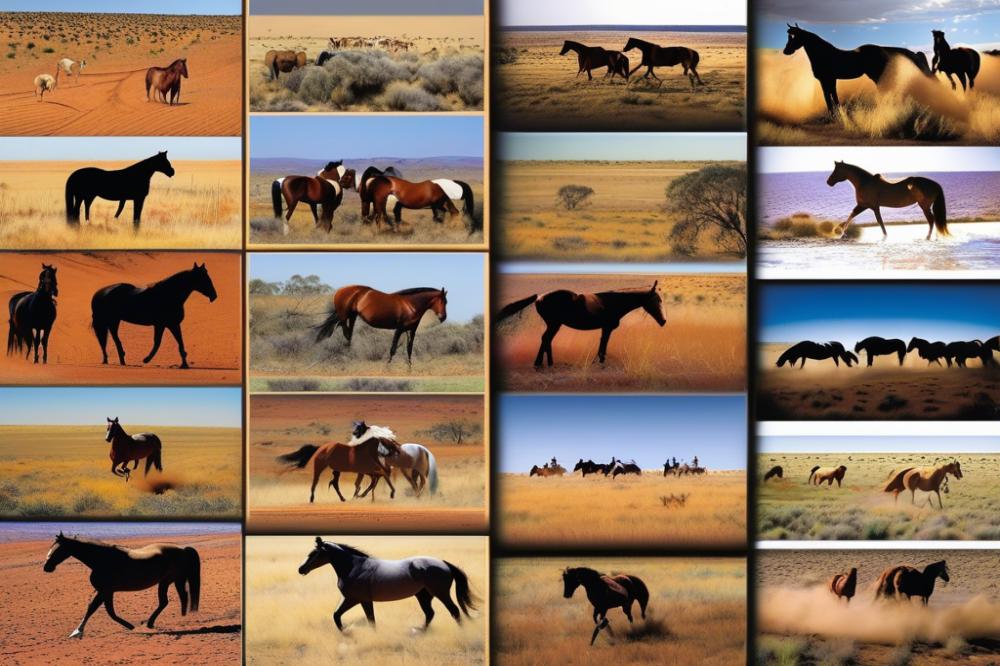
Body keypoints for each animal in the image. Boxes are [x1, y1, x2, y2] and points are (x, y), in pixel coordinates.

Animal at [43, 532, 200, 638]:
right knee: (175, 598)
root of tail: (183, 549)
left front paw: (77, 632)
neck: (103, 560)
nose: (46, 567)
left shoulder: (105, 591)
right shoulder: (105, 591)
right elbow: (103, 610)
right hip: (170, 581)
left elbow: (99, 610)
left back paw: (151, 622)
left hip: (167, 581)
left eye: (58, 549)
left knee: (167, 601)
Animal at [298, 538, 477, 632]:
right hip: (423, 595)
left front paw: (349, 633)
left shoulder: (357, 599)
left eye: (314, 553)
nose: (301, 569)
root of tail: (444, 563)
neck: (354, 568)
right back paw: (419, 631)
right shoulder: (353, 599)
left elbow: (367, 619)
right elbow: (338, 615)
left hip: (441, 593)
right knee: (430, 613)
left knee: (454, 611)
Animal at [314, 285, 448, 366]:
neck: (411, 305)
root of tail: (340, 291)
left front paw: (409, 368)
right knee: (343, 329)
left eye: (446, 302)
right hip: (345, 315)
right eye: (442, 301)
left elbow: (409, 349)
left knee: (347, 334)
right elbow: (393, 349)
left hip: (352, 316)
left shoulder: (411, 331)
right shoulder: (399, 329)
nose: (443, 317)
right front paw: (387, 367)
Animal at [497, 282, 666, 369]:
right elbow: (604, 343)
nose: (663, 321)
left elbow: (603, 343)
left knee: (547, 340)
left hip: (554, 324)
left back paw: (549, 363)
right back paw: (540, 364)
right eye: (654, 301)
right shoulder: (607, 328)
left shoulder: (605, 328)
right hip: (554, 324)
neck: (614, 302)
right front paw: (600, 362)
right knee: (546, 339)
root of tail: (539, 297)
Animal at [782, 24, 934, 113]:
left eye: (795, 36)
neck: (823, 54)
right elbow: (833, 95)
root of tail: (883, 49)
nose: (786, 51)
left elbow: (828, 97)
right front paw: (837, 113)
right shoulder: (831, 79)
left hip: (877, 75)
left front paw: (832, 114)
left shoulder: (825, 79)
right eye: (789, 36)